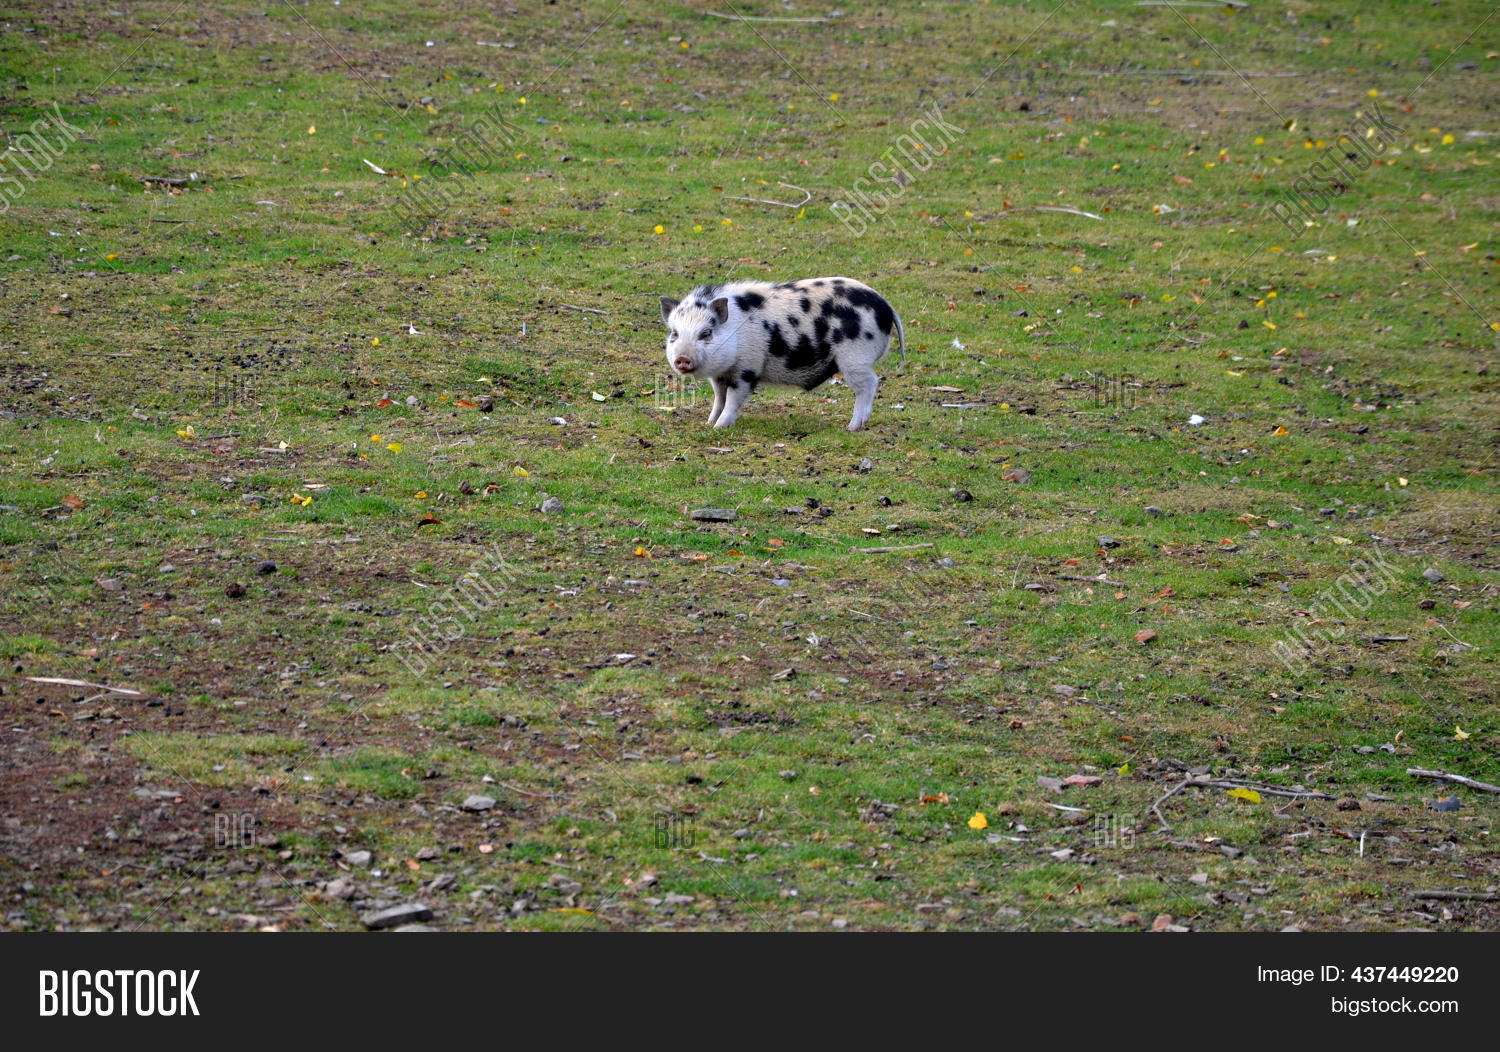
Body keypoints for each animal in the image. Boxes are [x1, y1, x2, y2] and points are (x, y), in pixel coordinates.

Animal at [659, 276, 905, 431]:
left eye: (706, 333)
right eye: (674, 333)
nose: (683, 358)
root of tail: (886, 306)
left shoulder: (748, 368)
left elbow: (733, 399)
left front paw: (719, 428)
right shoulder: (720, 376)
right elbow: (719, 399)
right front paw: (709, 423)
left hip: (855, 358)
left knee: (870, 383)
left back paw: (852, 427)